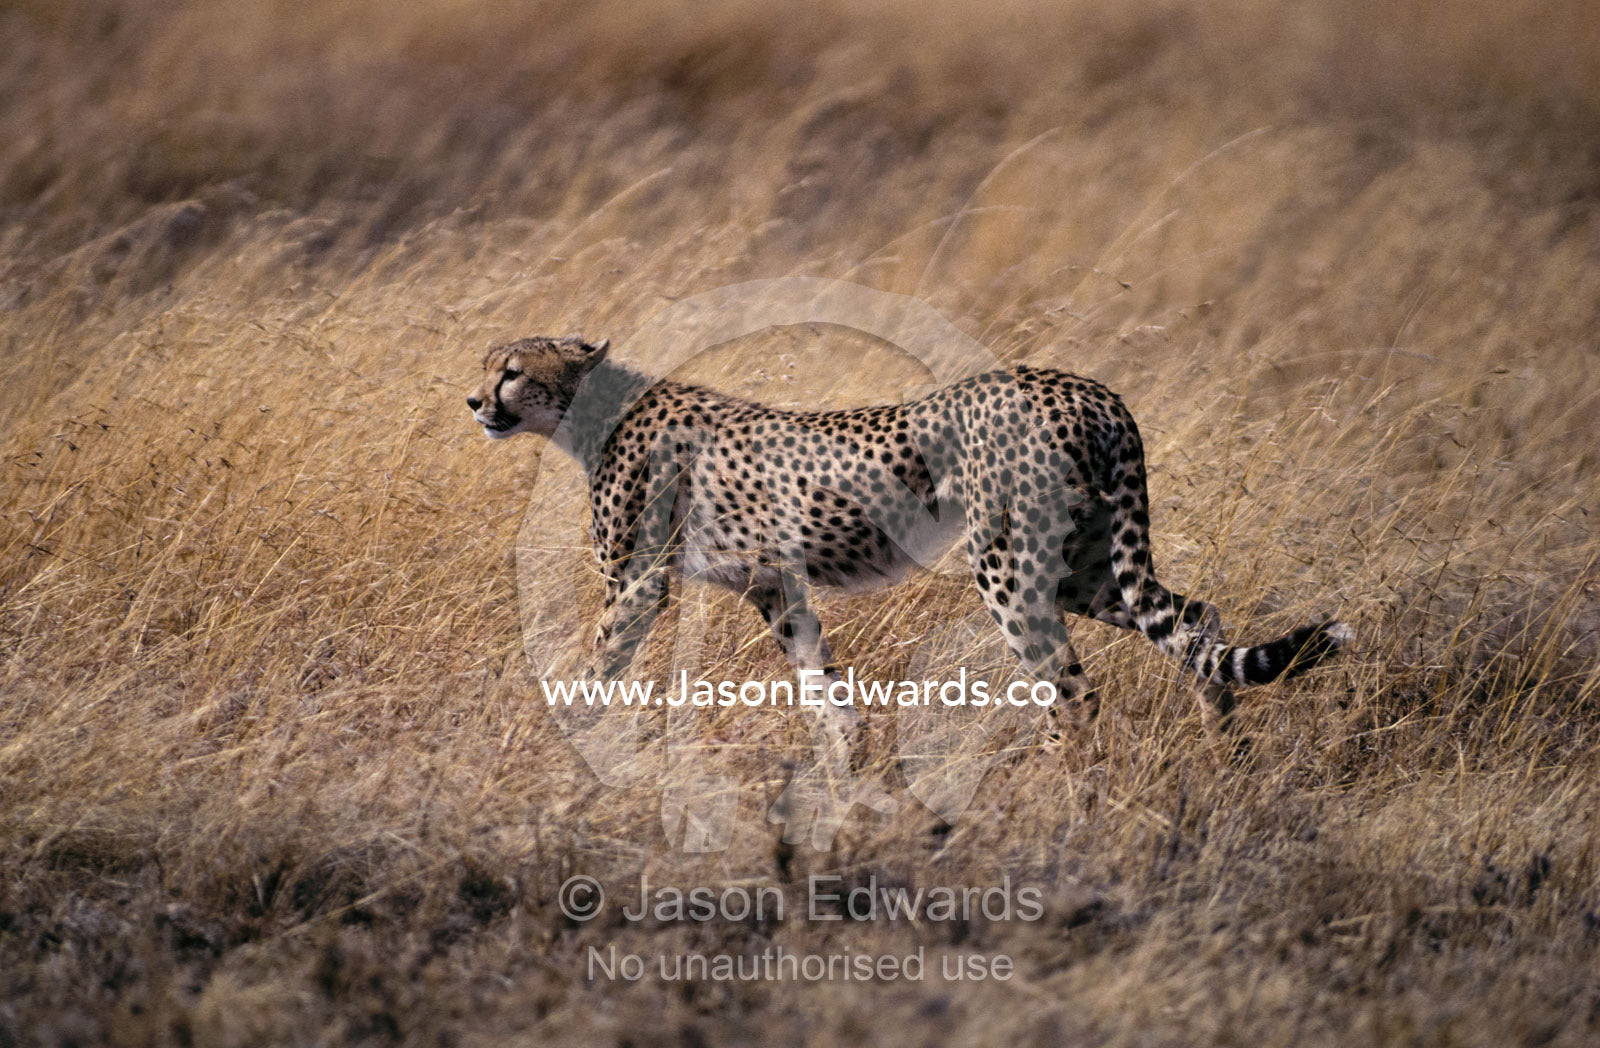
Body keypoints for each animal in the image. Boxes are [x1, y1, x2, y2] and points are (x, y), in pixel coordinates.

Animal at [468, 333, 1351, 739]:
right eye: (489, 367)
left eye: (512, 371)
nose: (474, 402)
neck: (588, 412)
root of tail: (1086, 388)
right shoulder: (774, 584)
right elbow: (820, 683)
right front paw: (849, 768)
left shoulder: (638, 583)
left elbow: (594, 670)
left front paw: (555, 744)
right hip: (1083, 565)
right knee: (1195, 620)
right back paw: (1223, 747)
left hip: (1008, 566)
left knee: (1072, 690)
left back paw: (1054, 803)